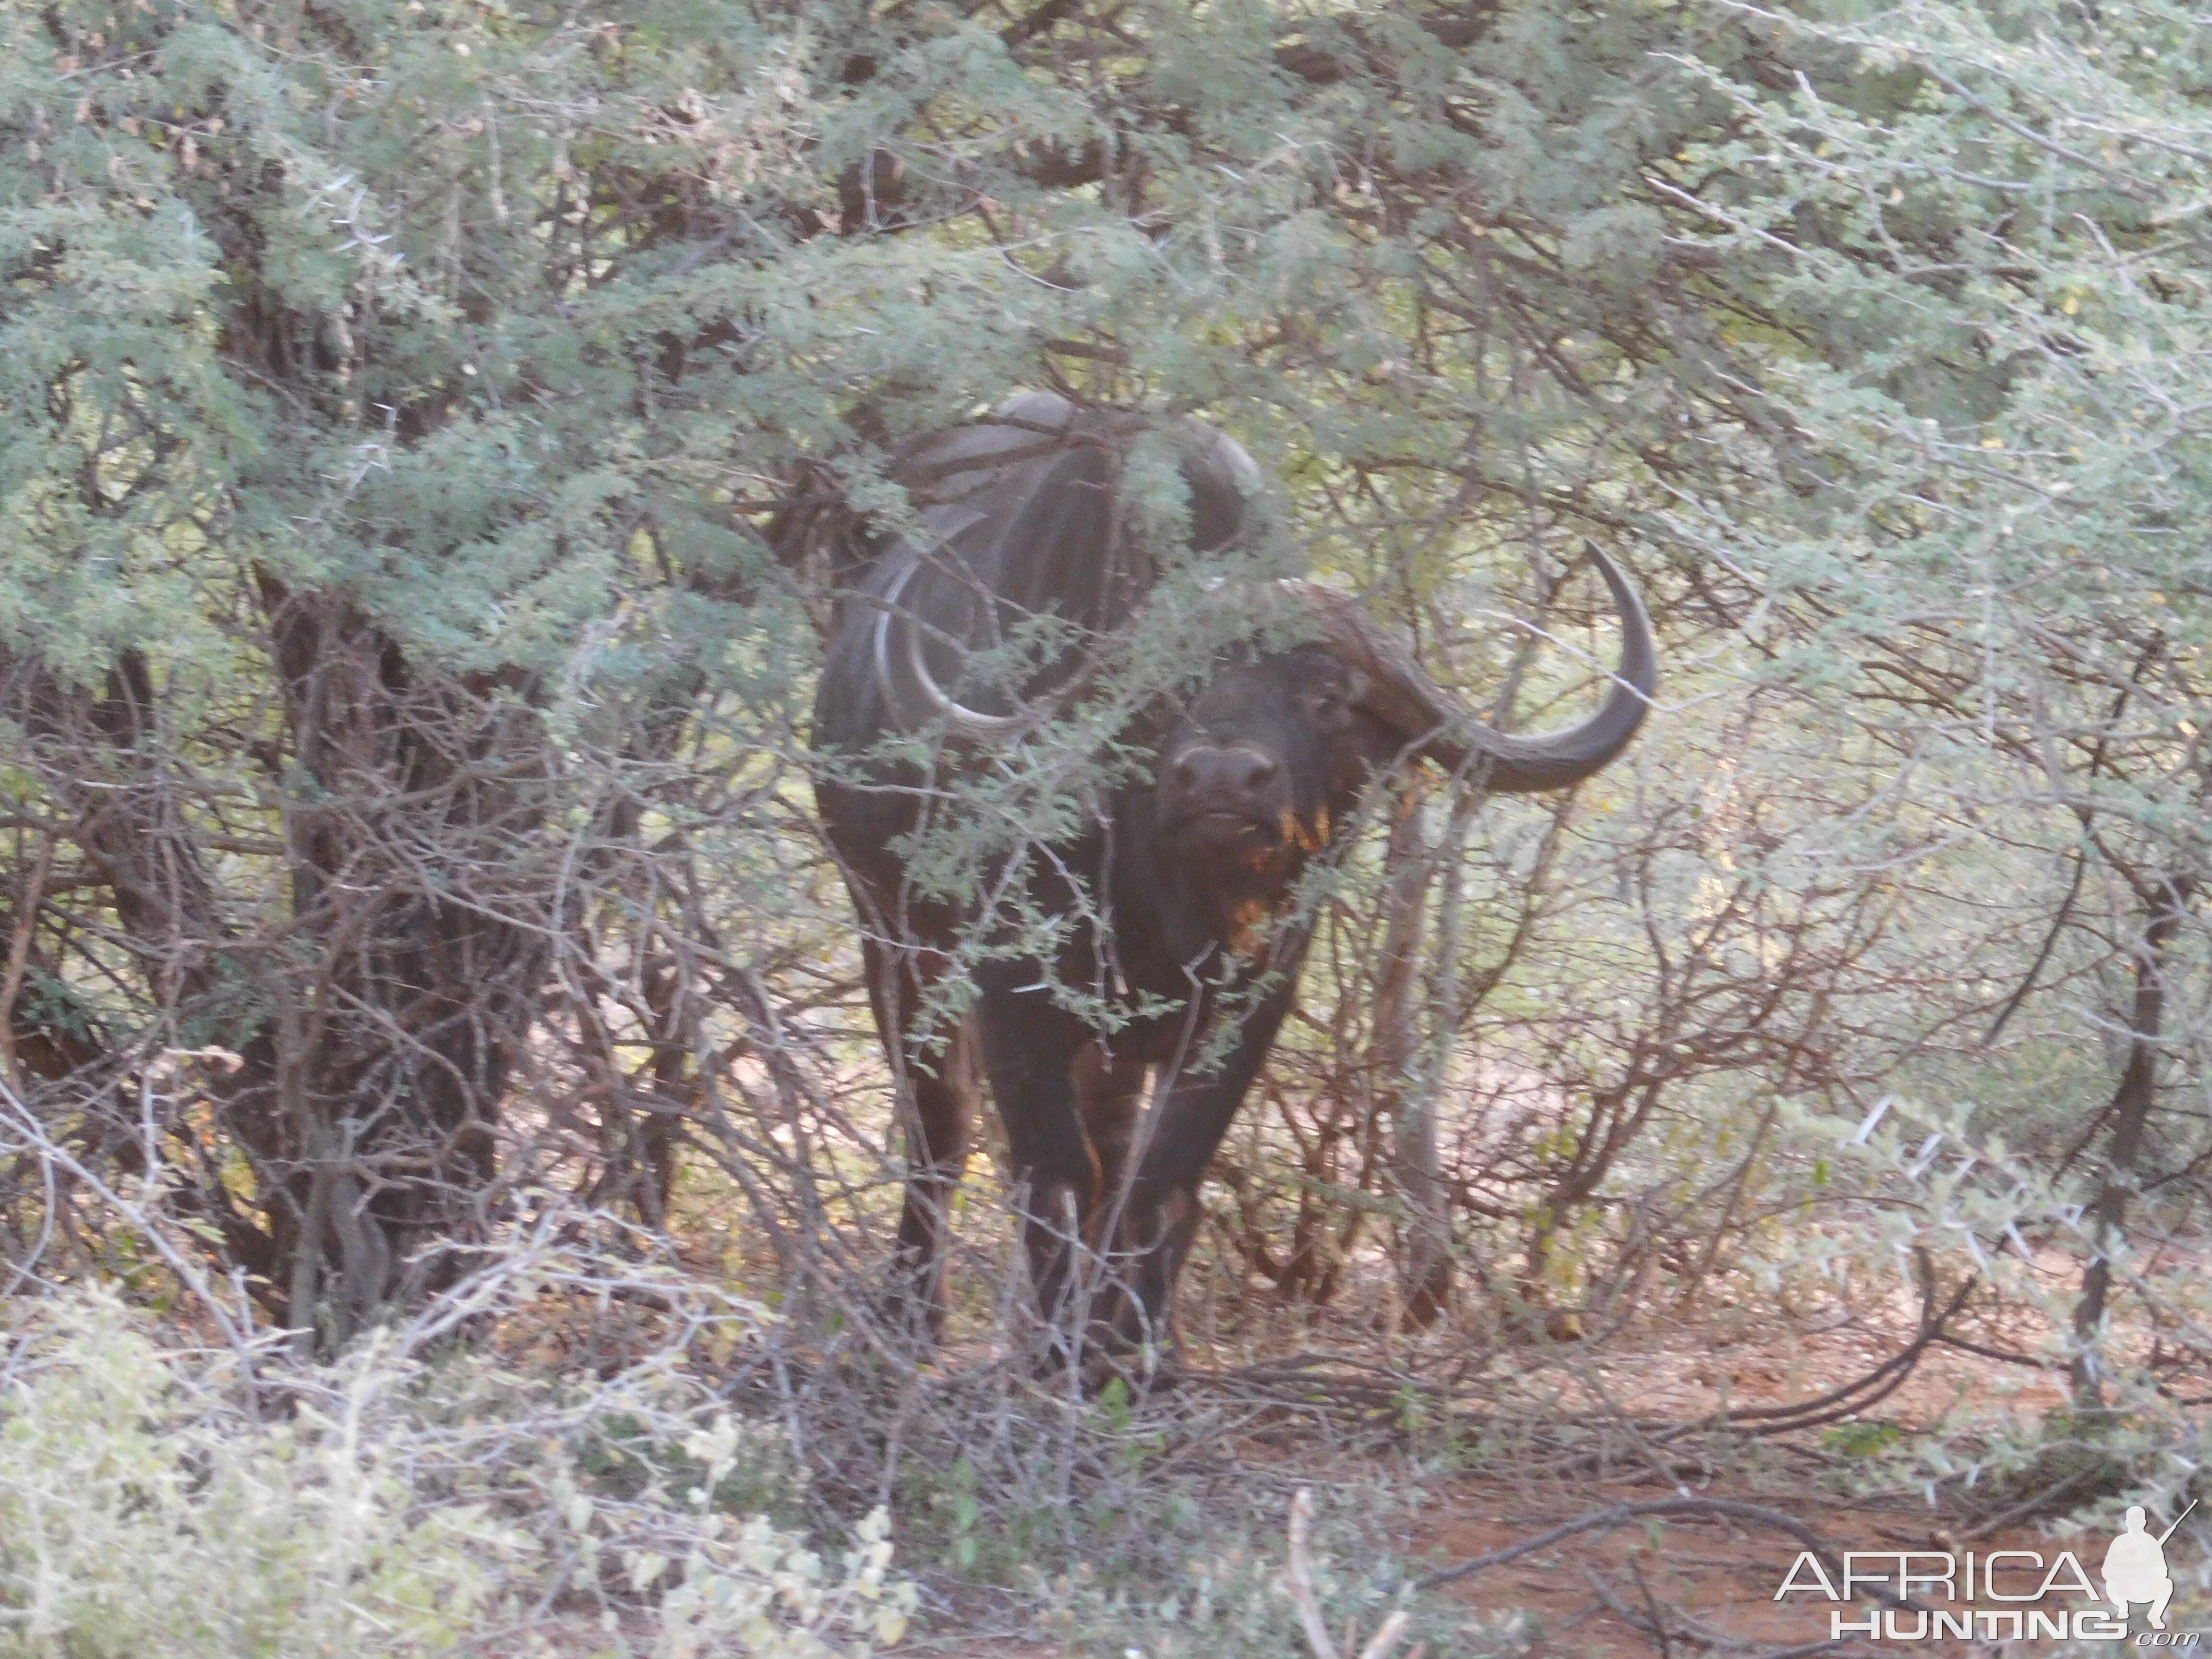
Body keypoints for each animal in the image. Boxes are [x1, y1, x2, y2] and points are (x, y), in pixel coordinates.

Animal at [805, 394, 1654, 1380]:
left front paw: (1142, 1348)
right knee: (939, 1127)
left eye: (1326, 696)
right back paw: (914, 1319)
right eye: (1170, 687)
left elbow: (1164, 1177)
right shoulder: (1013, 984)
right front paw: (1058, 1355)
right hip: (892, 934)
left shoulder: (1251, 1001)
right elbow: (1050, 1170)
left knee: (1109, 1141)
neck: (1168, 895)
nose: (1220, 780)